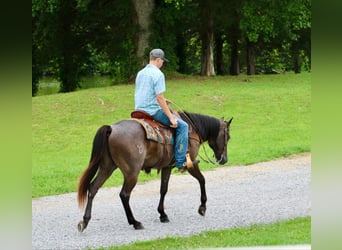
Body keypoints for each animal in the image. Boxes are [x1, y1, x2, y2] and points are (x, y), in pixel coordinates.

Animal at [77, 110, 232, 231]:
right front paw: (202, 207)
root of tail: (111, 129)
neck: (192, 130)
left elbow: (163, 189)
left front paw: (162, 214)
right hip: (131, 172)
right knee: (124, 194)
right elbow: (202, 180)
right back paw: (135, 222)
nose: (224, 159)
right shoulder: (191, 164)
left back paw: (85, 221)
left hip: (107, 167)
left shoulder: (166, 167)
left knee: (93, 188)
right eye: (228, 137)